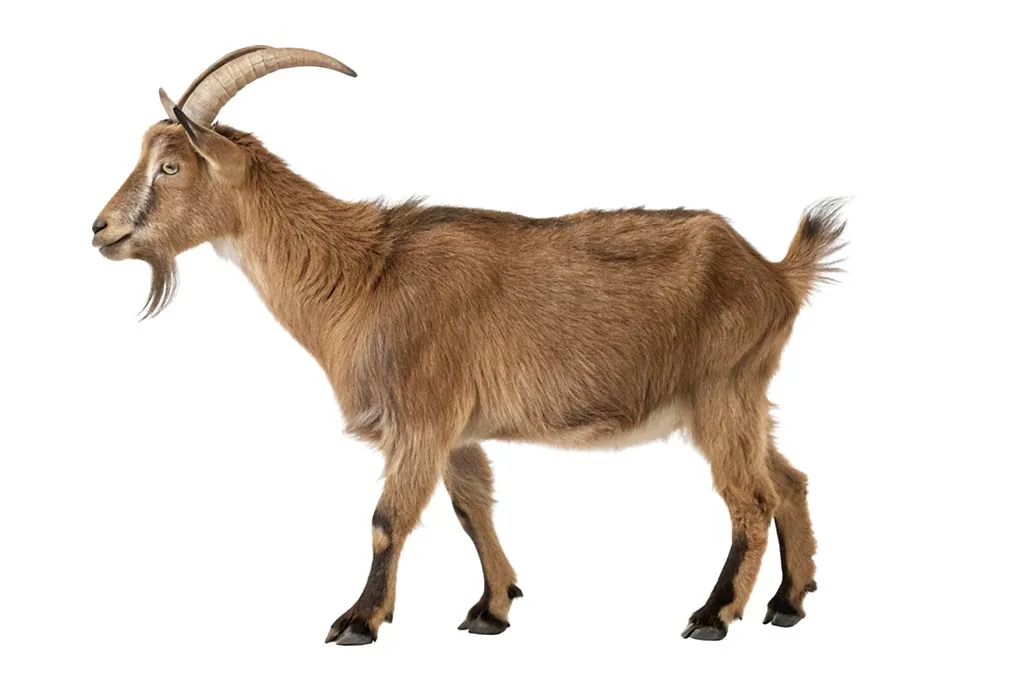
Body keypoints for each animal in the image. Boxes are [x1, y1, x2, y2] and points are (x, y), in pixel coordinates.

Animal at [93, 46, 844, 645]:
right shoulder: (457, 430)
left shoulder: (422, 416)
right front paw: (492, 607)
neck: (362, 274)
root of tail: (775, 272)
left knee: (749, 498)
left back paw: (714, 615)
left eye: (169, 167)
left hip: (721, 390)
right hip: (742, 397)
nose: (100, 228)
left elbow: (388, 518)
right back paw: (788, 602)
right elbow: (470, 508)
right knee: (790, 480)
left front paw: (358, 621)